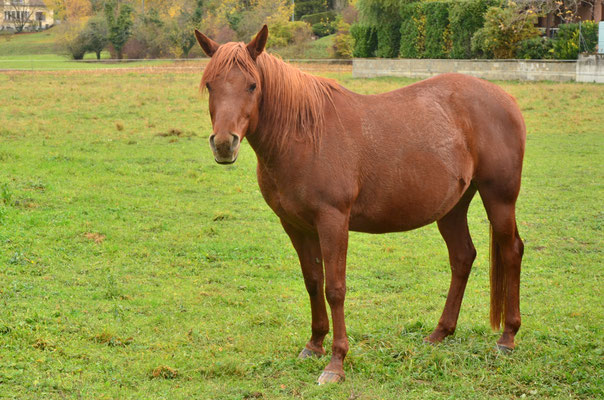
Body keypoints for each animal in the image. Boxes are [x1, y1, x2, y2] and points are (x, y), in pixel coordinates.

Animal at [193, 25, 524, 384]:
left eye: (252, 85)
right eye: (210, 85)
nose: (224, 144)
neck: (304, 135)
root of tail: (506, 98)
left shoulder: (333, 221)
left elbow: (335, 288)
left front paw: (336, 362)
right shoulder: (296, 226)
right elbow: (313, 282)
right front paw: (314, 344)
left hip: (499, 198)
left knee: (511, 252)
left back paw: (507, 338)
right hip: (453, 208)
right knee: (462, 257)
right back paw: (440, 333)